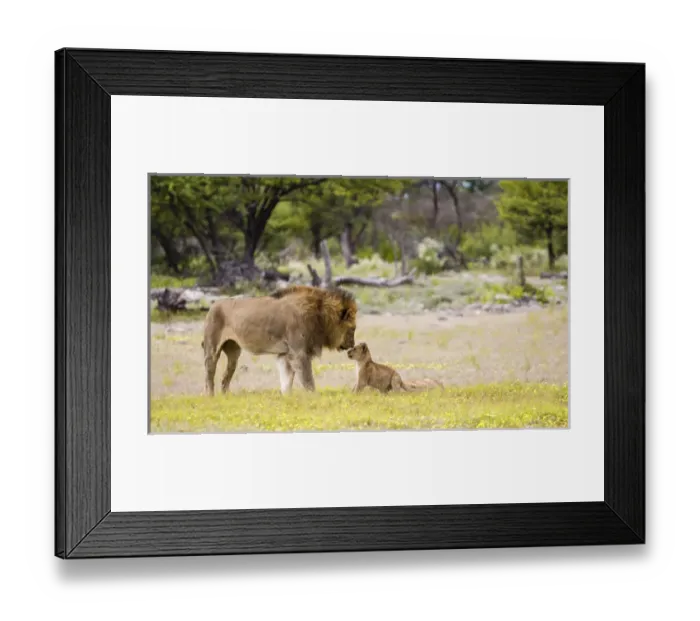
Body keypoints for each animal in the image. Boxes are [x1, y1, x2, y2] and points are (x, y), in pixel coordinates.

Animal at [201, 285, 357, 396]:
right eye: (353, 328)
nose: (352, 344)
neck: (320, 316)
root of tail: (212, 305)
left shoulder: (285, 354)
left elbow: (286, 379)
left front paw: (286, 398)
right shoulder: (299, 353)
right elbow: (308, 379)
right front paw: (313, 397)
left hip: (234, 352)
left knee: (225, 376)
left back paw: (226, 396)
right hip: (212, 348)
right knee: (209, 374)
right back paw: (211, 396)